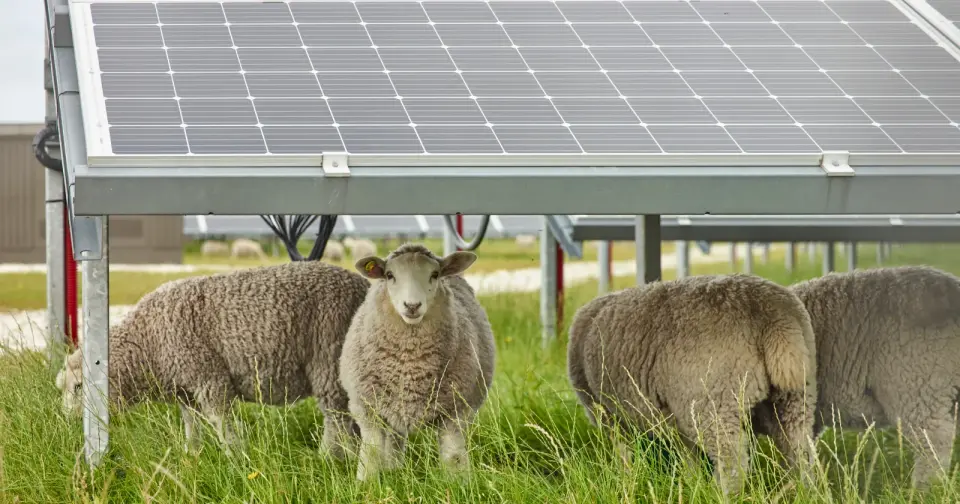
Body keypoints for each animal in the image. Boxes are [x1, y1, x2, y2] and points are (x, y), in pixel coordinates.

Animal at [54, 260, 370, 458]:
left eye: (79, 387)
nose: (67, 423)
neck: (147, 342)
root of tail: (363, 286)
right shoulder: (185, 389)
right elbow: (191, 427)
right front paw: (191, 457)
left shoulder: (210, 379)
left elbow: (222, 425)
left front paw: (236, 459)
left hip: (329, 357)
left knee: (337, 420)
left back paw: (328, 459)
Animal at [338, 243, 496, 481]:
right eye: (389, 275)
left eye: (435, 274)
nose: (412, 305)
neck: (410, 363)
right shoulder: (367, 409)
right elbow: (372, 453)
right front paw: (366, 483)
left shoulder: (455, 412)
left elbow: (454, 457)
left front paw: (459, 484)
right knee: (394, 442)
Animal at [567, 274, 817, 495]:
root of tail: (771, 313)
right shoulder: (675, 417)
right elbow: (687, 455)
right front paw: (691, 482)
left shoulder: (606, 413)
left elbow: (623, 453)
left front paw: (626, 480)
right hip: (795, 397)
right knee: (800, 452)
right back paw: (803, 491)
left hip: (713, 402)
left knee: (732, 463)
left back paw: (722, 494)